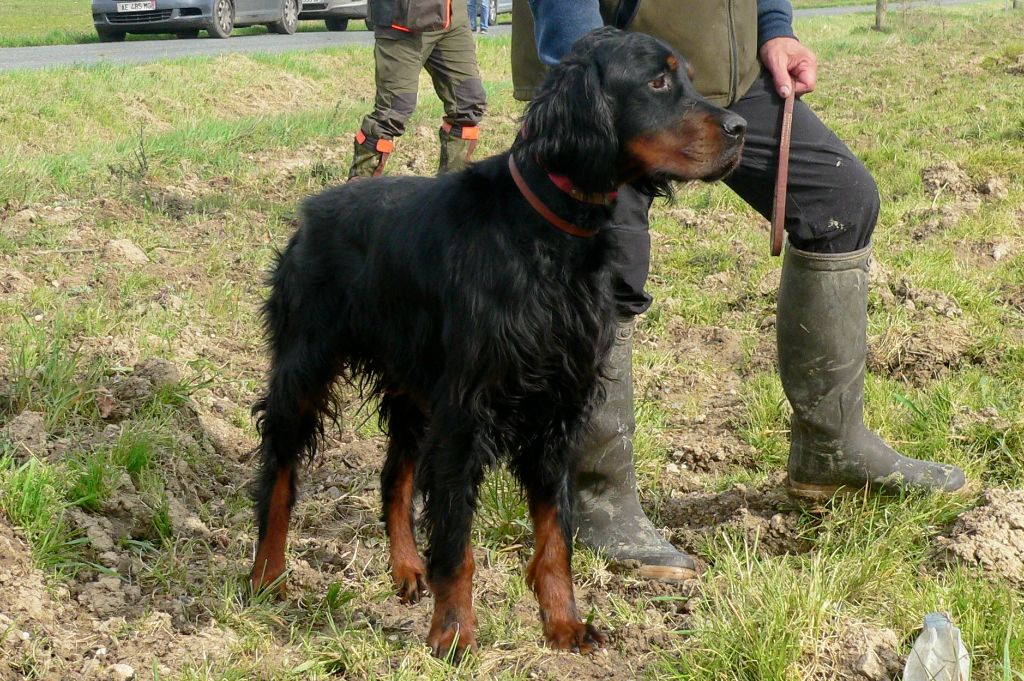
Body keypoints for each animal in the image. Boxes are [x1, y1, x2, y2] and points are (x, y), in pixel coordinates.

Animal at [247, 26, 745, 659]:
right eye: (658, 81)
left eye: (686, 79)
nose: (741, 128)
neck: (549, 233)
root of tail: (314, 210)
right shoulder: (467, 412)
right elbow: (457, 540)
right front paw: (454, 632)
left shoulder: (559, 406)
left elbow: (555, 536)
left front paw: (563, 624)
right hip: (304, 369)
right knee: (279, 475)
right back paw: (267, 576)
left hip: (413, 389)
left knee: (393, 476)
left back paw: (406, 569)